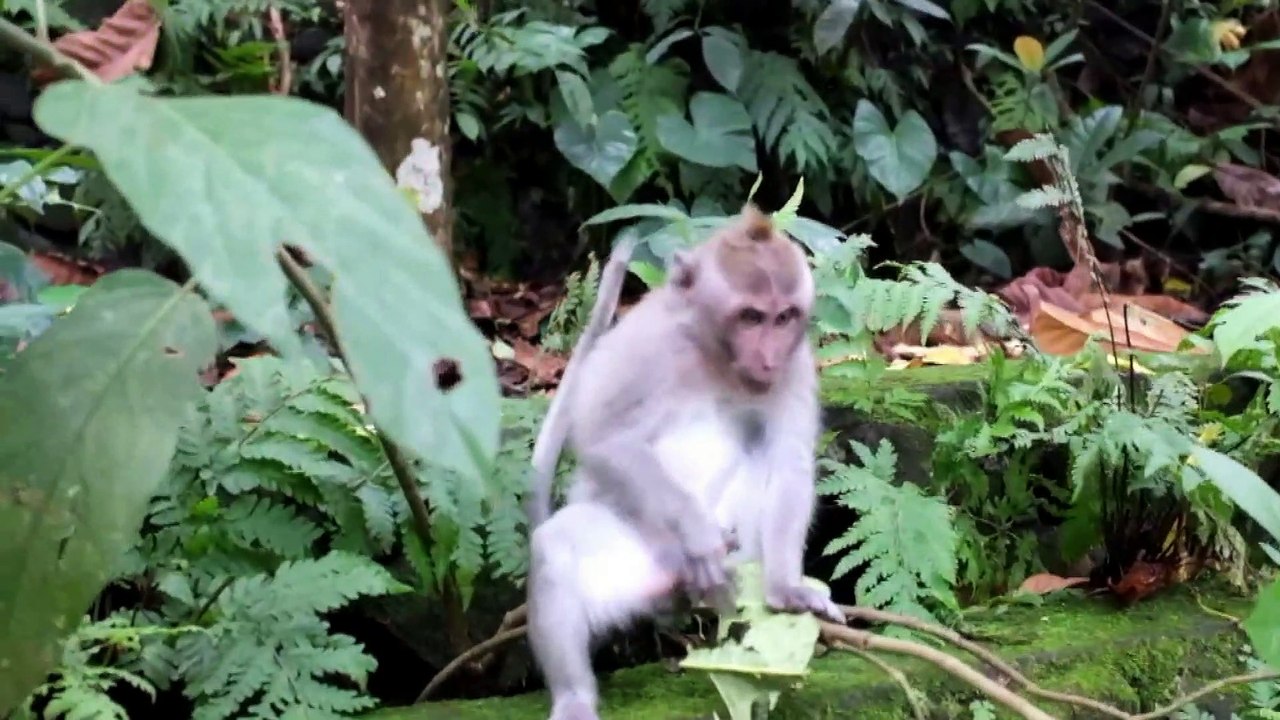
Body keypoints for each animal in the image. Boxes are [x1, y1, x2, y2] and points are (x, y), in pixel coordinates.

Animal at [525, 205, 843, 720]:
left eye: (784, 318)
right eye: (751, 316)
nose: (769, 358)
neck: (715, 356)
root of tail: (669, 583)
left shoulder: (796, 366)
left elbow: (788, 461)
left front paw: (786, 589)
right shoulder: (647, 341)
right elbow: (605, 438)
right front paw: (697, 534)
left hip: (741, 558)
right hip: (633, 554)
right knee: (555, 548)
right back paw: (574, 696)